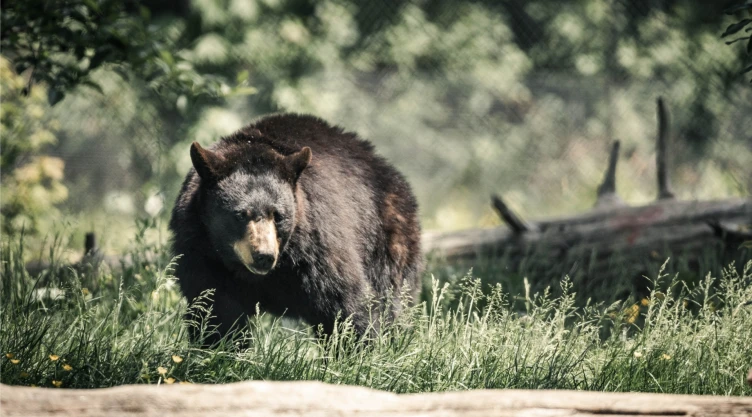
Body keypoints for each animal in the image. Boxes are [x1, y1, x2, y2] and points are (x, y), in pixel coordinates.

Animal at [169, 113, 422, 345]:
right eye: (240, 215)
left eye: (278, 215)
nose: (263, 256)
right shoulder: (202, 251)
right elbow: (215, 309)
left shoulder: (315, 248)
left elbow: (345, 302)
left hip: (387, 238)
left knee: (391, 298)